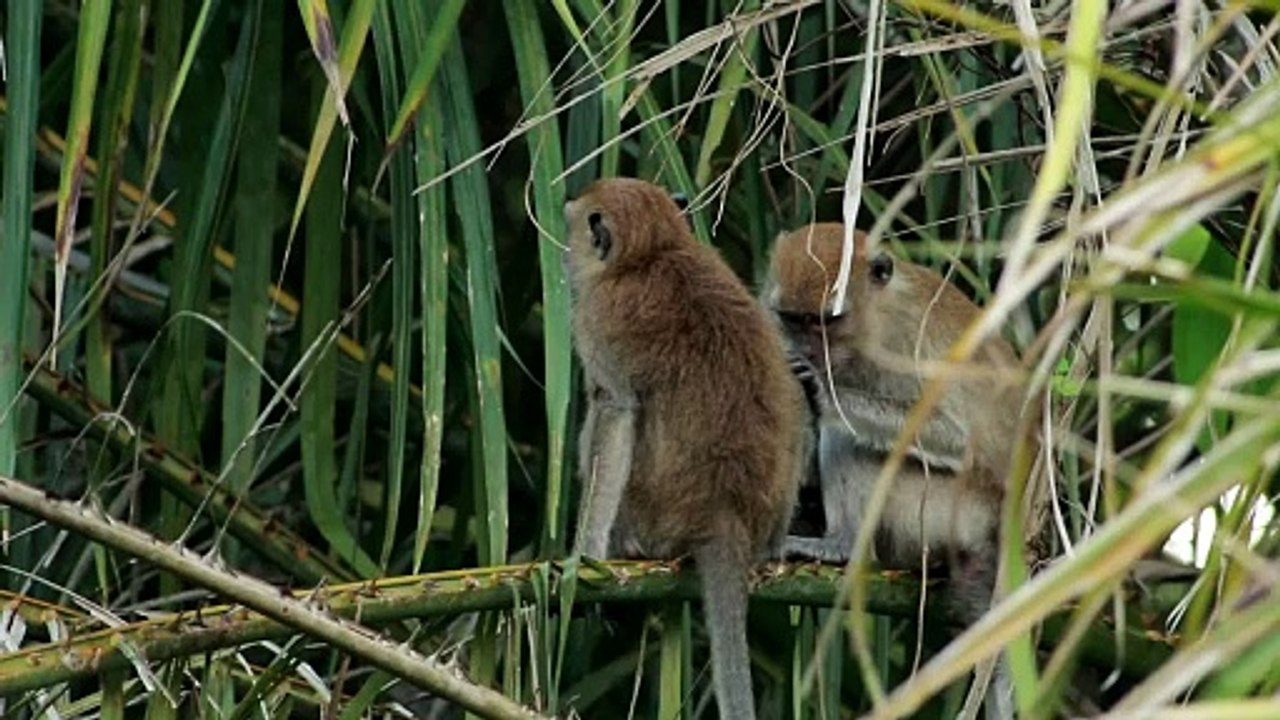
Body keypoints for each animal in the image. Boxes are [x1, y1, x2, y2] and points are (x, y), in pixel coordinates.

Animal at [564, 178, 808, 720]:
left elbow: (616, 412)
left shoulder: (597, 315)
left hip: (653, 517)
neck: (656, 250)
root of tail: (725, 513)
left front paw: (585, 557)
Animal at [761, 223, 1044, 718]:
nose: (807, 351)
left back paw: (841, 546)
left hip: (947, 514)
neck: (874, 318)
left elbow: (955, 438)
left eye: (825, 321)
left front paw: (819, 387)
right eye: (794, 319)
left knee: (850, 439)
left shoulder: (906, 342)